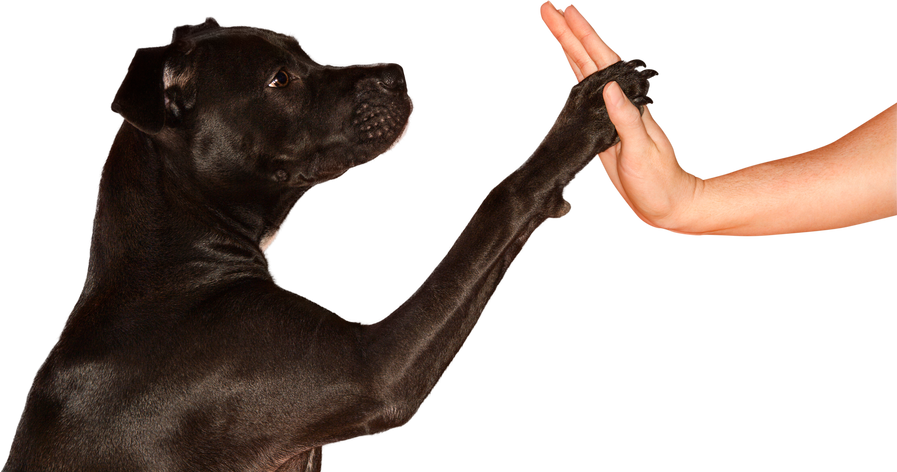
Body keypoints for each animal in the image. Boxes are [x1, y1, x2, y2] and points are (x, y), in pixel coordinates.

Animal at [1, 12, 656, 470]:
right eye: (280, 79)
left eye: (303, 50)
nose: (399, 74)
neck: (169, 264)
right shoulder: (373, 369)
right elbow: (501, 202)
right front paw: (587, 114)